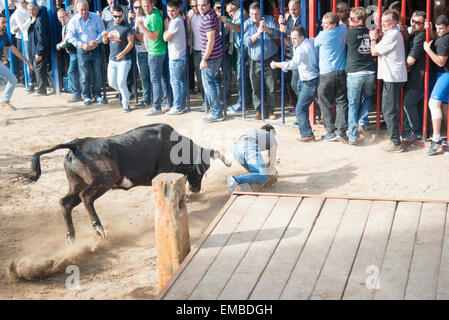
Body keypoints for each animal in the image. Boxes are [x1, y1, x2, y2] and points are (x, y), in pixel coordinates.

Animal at [19, 122, 231, 242]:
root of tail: (76, 144)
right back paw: (98, 228)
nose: (196, 189)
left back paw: (71, 236)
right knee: (86, 198)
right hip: (105, 179)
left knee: (65, 203)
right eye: (202, 170)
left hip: (77, 183)